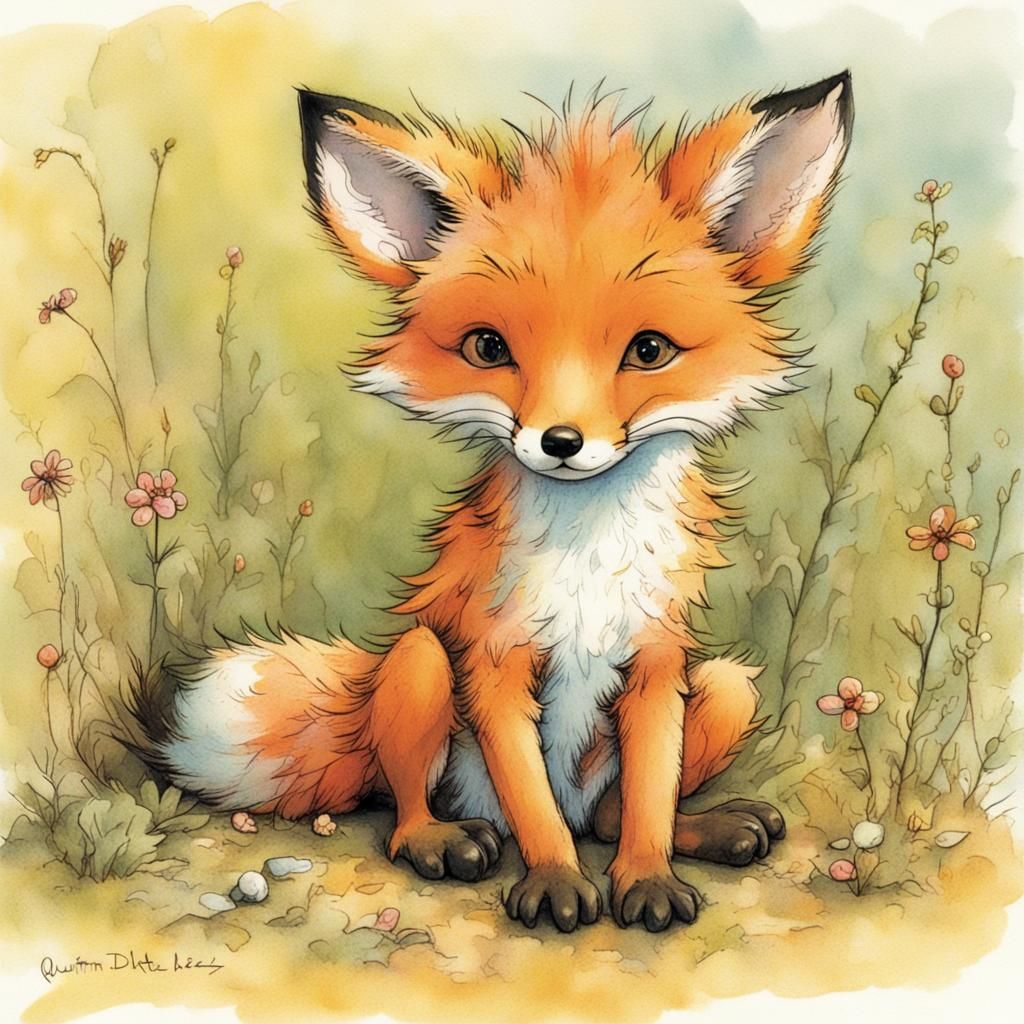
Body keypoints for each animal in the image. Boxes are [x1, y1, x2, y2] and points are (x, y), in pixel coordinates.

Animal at [130, 71, 853, 934]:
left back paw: (709, 828)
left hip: (723, 688)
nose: (561, 441)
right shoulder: (494, 660)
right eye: (488, 348)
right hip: (419, 665)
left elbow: (648, 798)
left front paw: (646, 879)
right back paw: (442, 841)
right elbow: (532, 805)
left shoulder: (655, 662)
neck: (586, 558)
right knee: (416, 812)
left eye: (648, 351)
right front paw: (555, 882)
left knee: (609, 814)